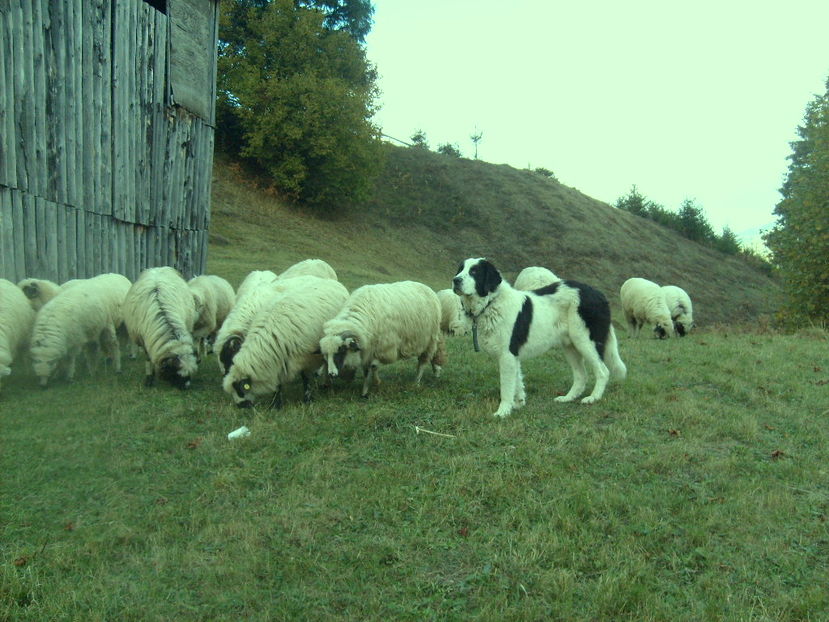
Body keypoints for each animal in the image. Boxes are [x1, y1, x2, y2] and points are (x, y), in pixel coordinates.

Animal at [222, 278, 348, 410]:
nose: (241, 406)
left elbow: (306, 378)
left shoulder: (307, 358)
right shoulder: (279, 360)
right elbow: (278, 384)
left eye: (240, 390)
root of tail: (333, 282)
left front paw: (307, 400)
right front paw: (275, 405)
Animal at [318, 280, 446, 398]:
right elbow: (367, 369)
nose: (331, 374)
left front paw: (369, 388)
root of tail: (426, 287)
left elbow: (372, 367)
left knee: (423, 362)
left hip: (429, 339)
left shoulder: (382, 348)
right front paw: (371, 386)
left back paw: (417, 382)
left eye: (342, 350)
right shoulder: (367, 350)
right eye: (326, 354)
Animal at [452, 258, 628, 420]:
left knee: (603, 371)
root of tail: (599, 294)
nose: (455, 280)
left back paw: (593, 398)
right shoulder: (512, 356)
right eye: (461, 269)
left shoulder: (507, 355)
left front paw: (503, 412)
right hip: (570, 345)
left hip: (585, 340)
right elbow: (517, 381)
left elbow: (506, 387)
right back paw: (568, 398)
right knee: (581, 375)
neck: (491, 302)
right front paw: (519, 403)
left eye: (474, 271)